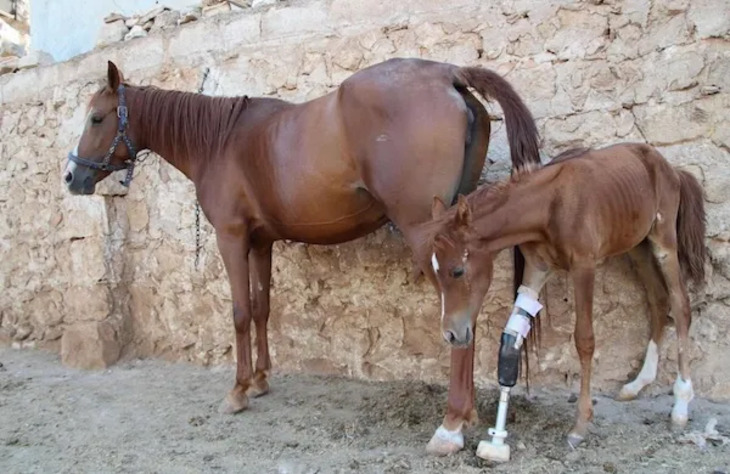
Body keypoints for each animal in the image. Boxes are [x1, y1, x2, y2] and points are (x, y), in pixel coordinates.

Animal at [64, 59, 540, 456]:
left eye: (97, 117)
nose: (71, 177)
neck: (220, 141)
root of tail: (447, 74)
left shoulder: (231, 238)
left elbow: (239, 312)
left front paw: (237, 391)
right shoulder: (261, 243)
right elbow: (261, 308)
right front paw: (260, 381)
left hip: (427, 234)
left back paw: (450, 425)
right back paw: (467, 414)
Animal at [424, 142, 704, 460]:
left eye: (457, 271)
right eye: (433, 270)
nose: (451, 334)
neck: (549, 206)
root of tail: (672, 169)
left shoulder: (584, 266)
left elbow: (585, 340)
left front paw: (580, 426)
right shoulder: (537, 269)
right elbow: (512, 336)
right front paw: (495, 439)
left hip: (664, 240)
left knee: (680, 305)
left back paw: (681, 404)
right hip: (637, 246)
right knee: (658, 299)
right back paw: (637, 384)